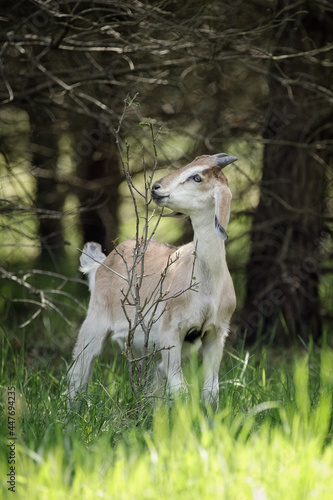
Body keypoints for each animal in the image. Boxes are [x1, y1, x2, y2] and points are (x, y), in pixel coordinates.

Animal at [68, 154, 236, 408]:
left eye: (197, 177)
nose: (156, 188)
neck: (204, 285)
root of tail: (101, 263)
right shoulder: (171, 330)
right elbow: (180, 388)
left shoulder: (216, 333)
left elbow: (210, 390)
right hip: (95, 320)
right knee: (81, 365)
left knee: (150, 378)